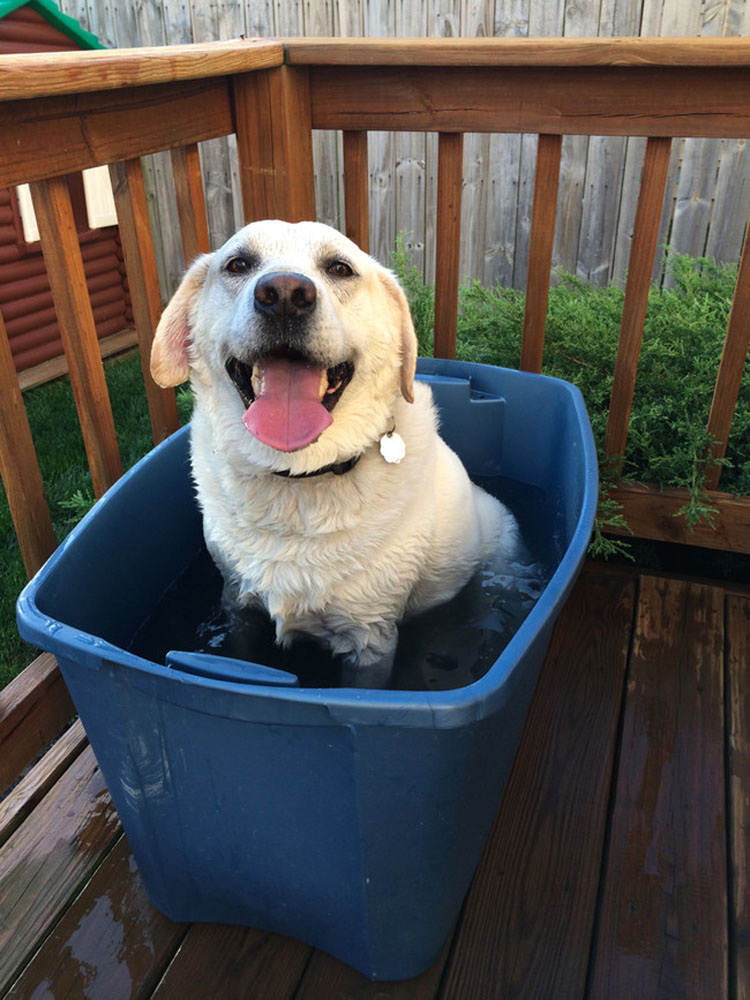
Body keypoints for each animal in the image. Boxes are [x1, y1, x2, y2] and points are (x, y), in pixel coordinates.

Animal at [151, 222, 520, 684]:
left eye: (340, 268)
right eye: (238, 264)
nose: (284, 294)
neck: (295, 477)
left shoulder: (371, 639)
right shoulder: (237, 601)